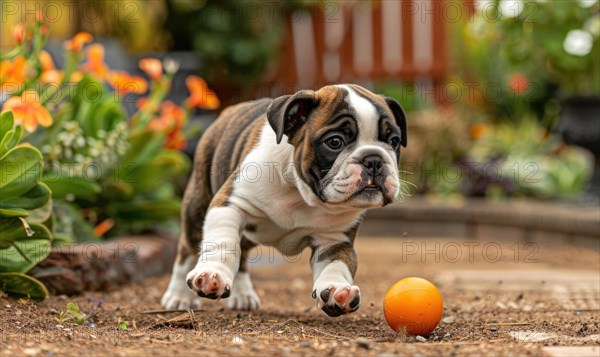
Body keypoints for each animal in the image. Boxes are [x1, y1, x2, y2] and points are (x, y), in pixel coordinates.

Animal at [162, 84, 408, 318]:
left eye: (394, 141)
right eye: (335, 142)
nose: (373, 159)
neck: (302, 194)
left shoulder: (335, 239)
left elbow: (337, 265)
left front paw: (338, 290)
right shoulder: (230, 204)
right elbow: (223, 243)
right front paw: (213, 274)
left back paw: (242, 295)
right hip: (196, 208)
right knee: (187, 251)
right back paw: (178, 297)